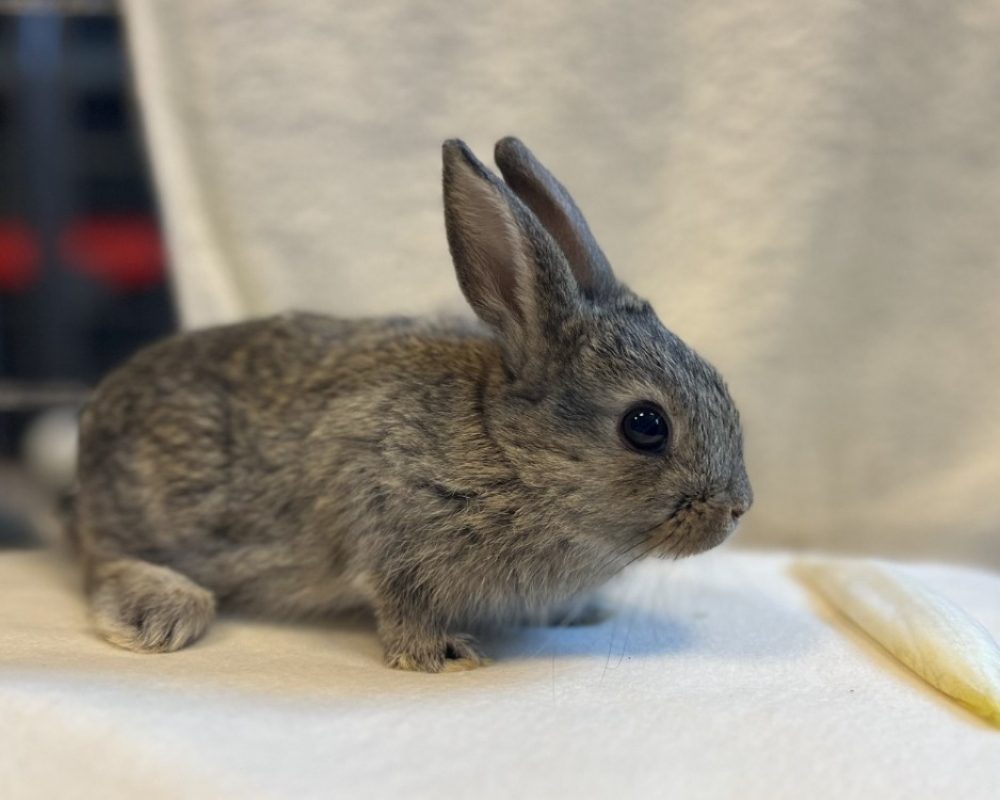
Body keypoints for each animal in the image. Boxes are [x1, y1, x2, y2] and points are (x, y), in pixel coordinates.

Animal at [72, 137, 752, 672]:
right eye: (646, 425)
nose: (736, 509)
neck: (508, 450)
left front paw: (581, 613)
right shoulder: (385, 521)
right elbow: (402, 600)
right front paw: (440, 655)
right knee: (100, 559)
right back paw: (162, 611)